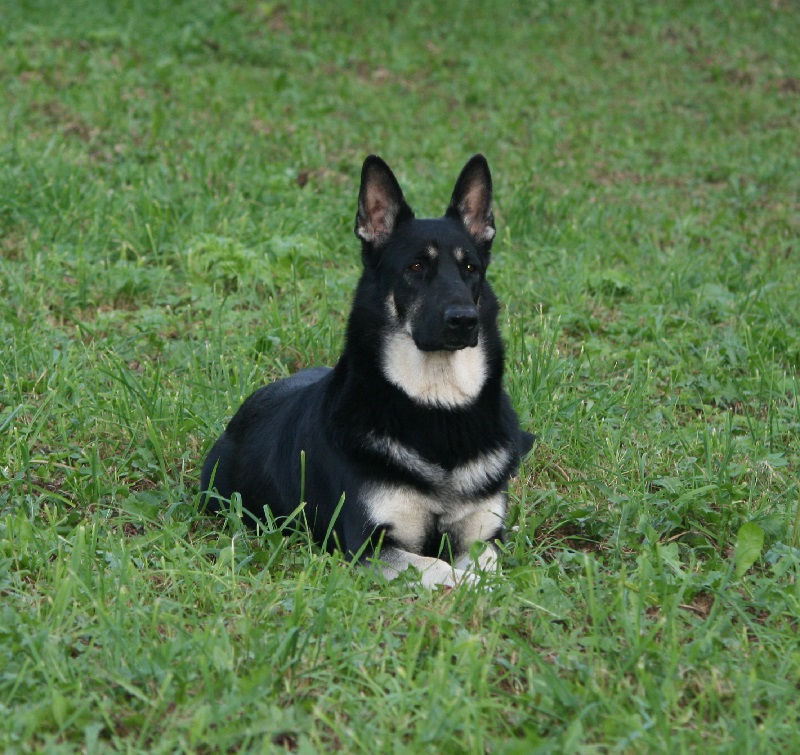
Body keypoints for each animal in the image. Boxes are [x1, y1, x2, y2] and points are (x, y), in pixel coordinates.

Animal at [203, 155, 536, 592]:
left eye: (470, 268)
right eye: (416, 266)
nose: (465, 320)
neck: (436, 404)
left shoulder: (484, 537)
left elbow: (484, 568)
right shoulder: (370, 546)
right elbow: (440, 567)